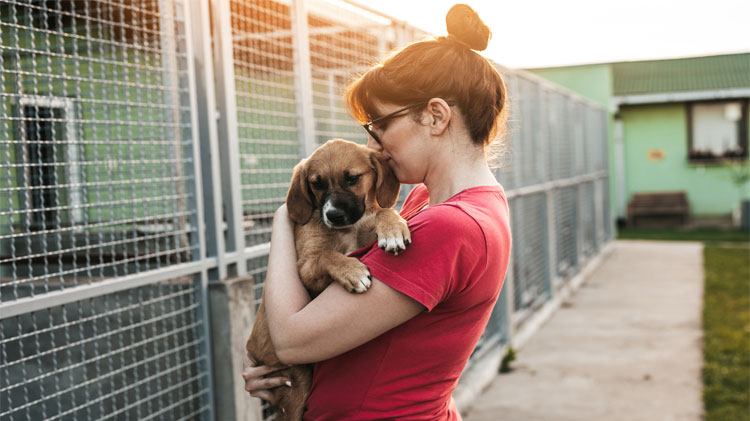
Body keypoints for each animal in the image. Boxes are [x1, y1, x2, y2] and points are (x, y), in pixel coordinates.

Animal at [245, 139, 412, 420]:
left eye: (352, 178)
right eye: (317, 183)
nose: (333, 215)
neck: (347, 230)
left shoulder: (365, 233)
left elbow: (382, 211)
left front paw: (393, 228)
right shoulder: (305, 268)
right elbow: (327, 255)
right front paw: (353, 271)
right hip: (297, 381)